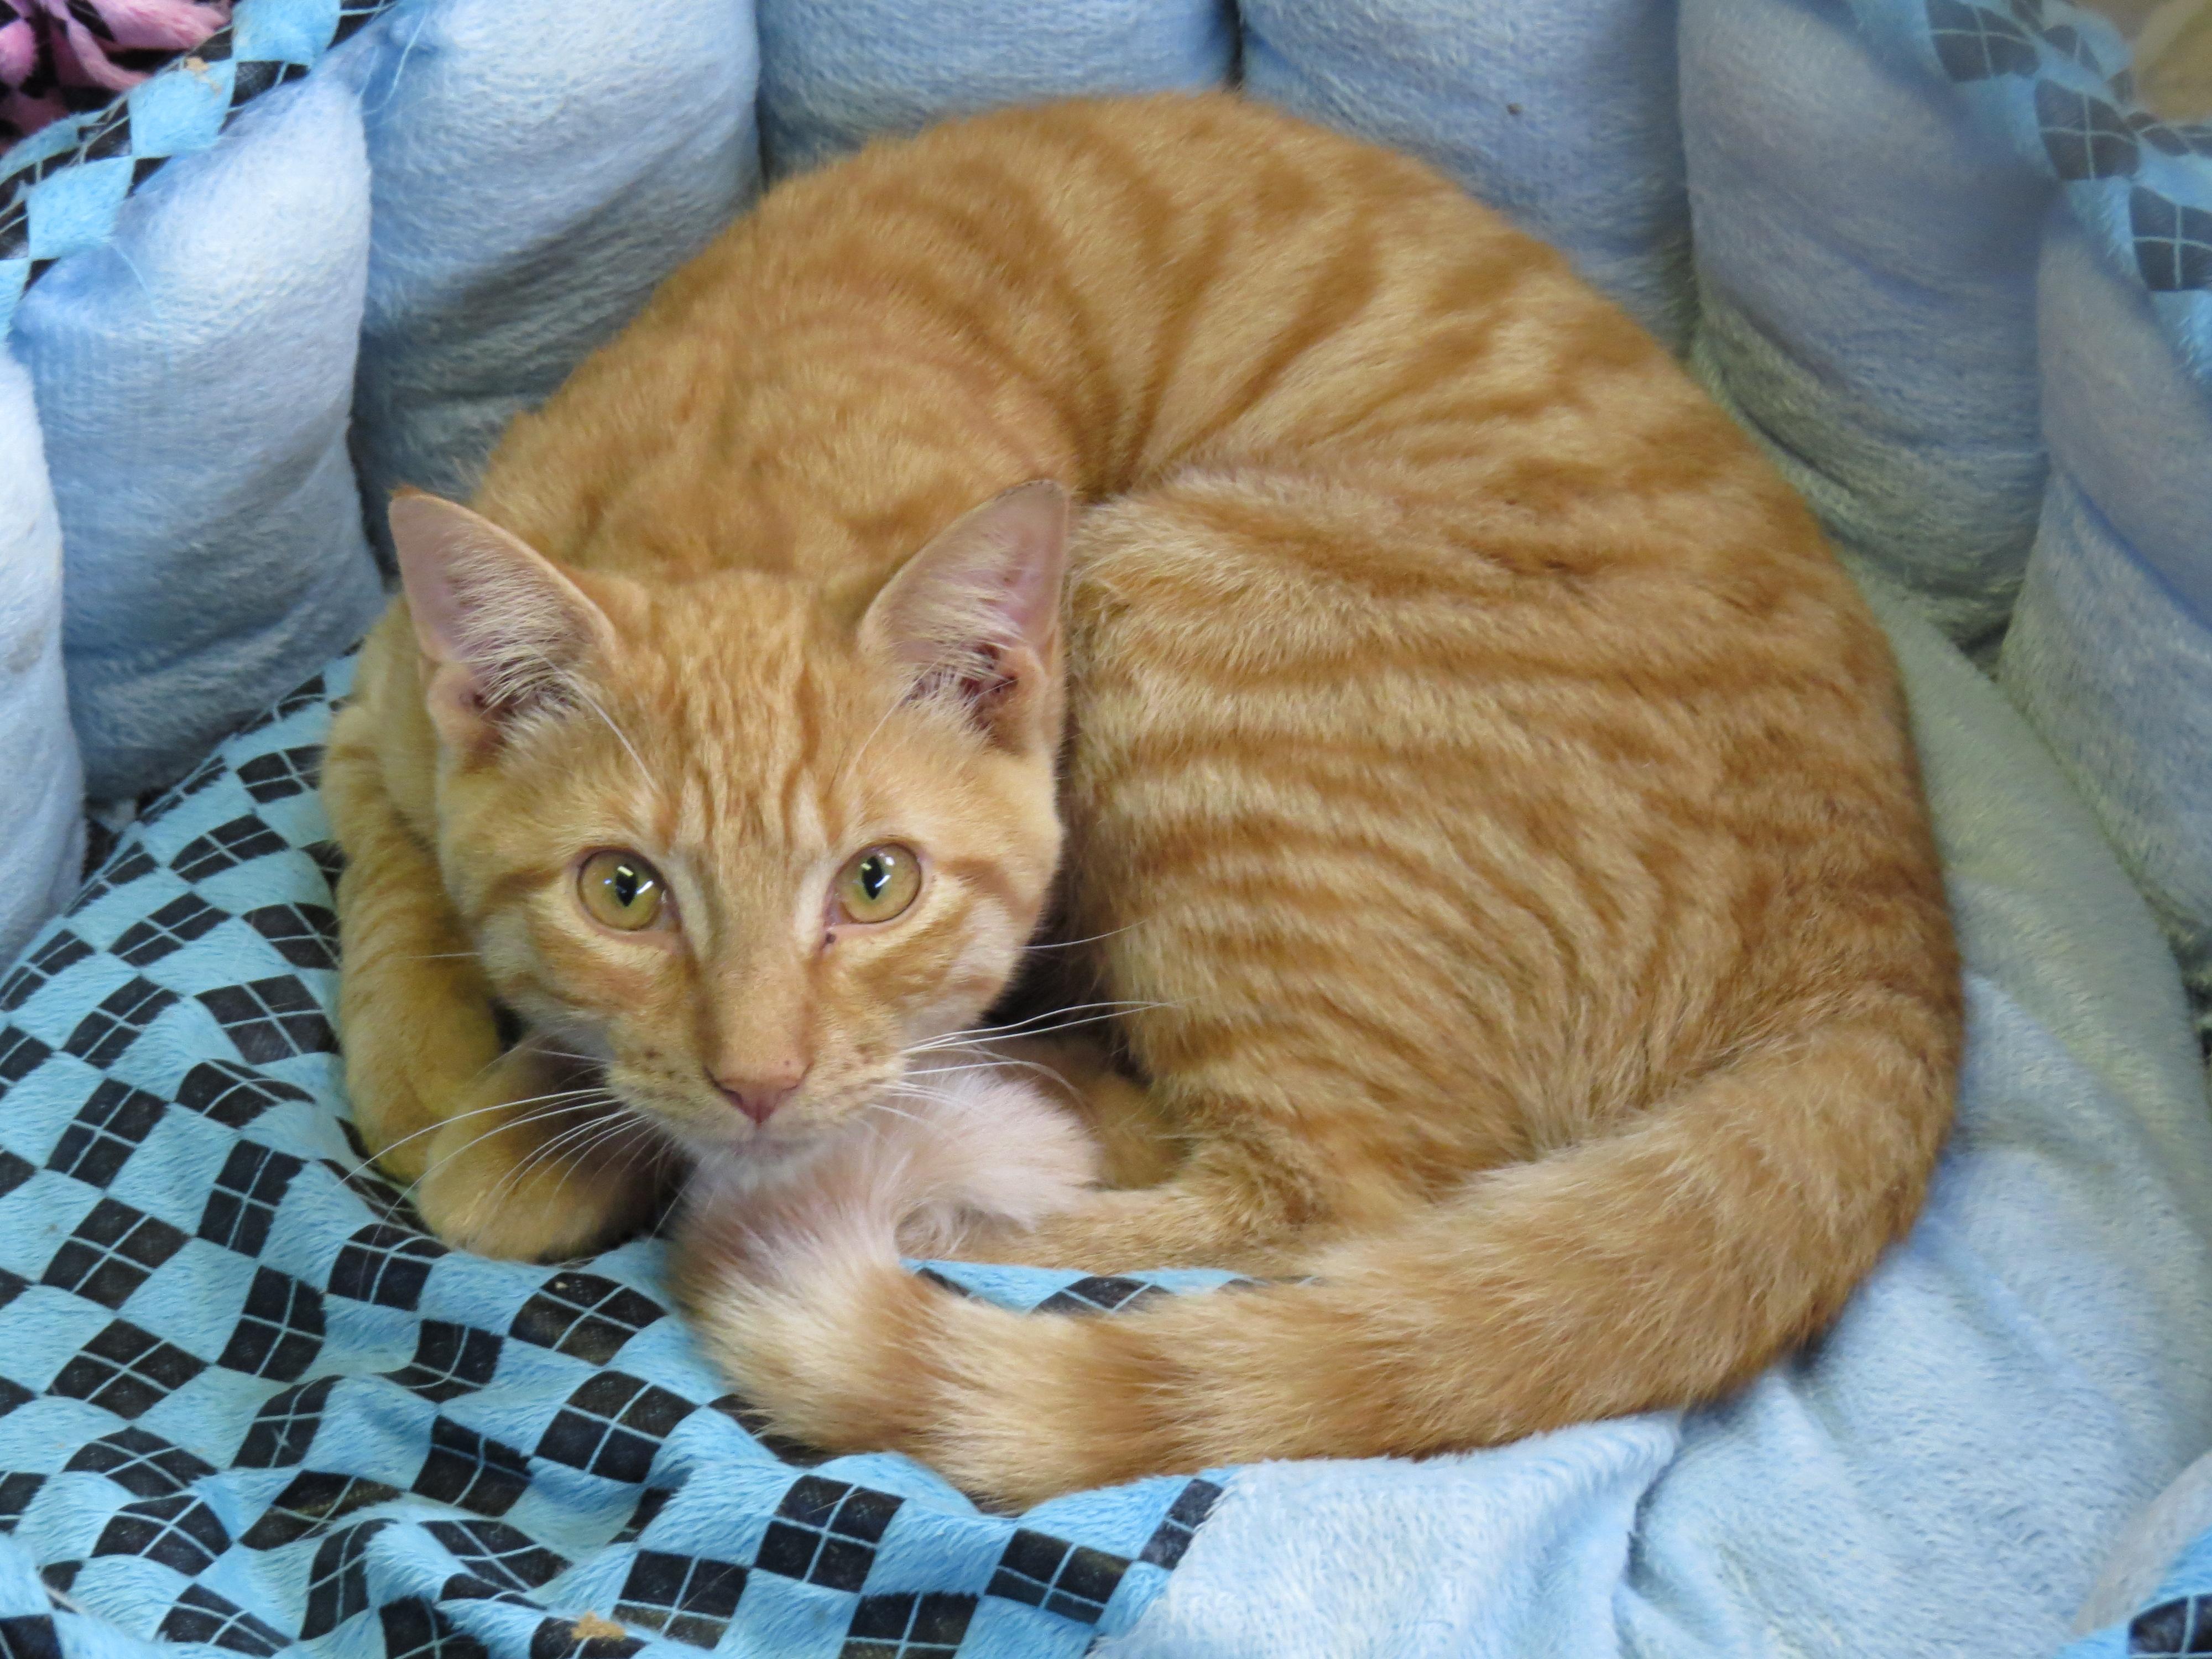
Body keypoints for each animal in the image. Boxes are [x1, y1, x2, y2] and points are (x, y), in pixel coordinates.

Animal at [323, 88, 1955, 1504]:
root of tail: (1897, 954)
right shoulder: (372, 707)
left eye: (877, 883)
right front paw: (450, 1078)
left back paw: (1007, 1140)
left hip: (1174, 608)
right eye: (624, 892)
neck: (742, 468)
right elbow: (395, 901)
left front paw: (535, 1134)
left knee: (1317, 1198)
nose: (761, 1081)